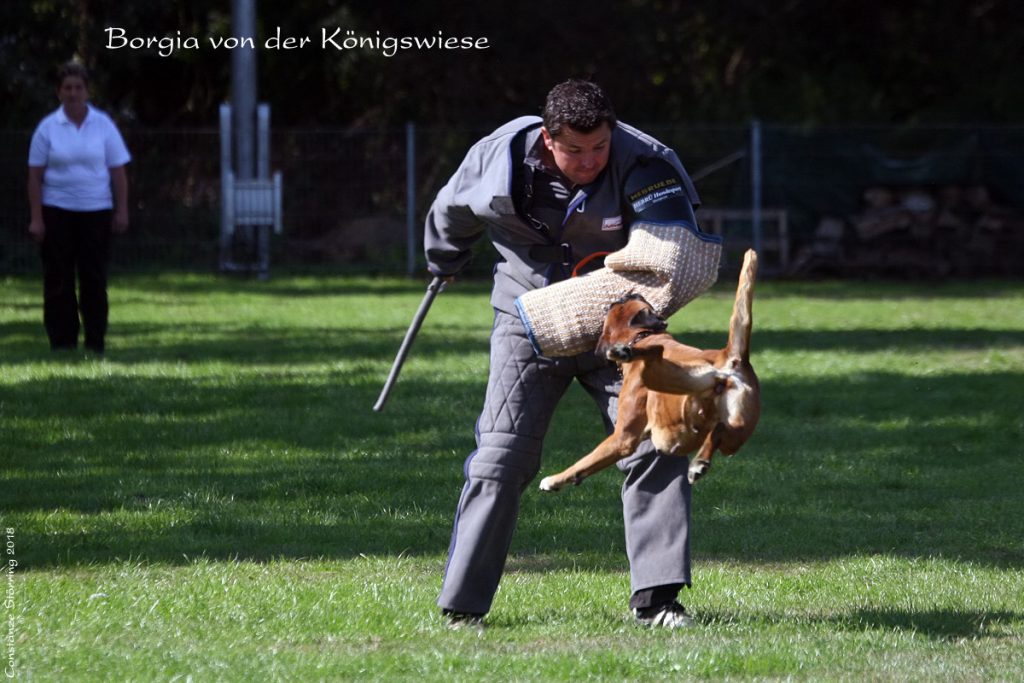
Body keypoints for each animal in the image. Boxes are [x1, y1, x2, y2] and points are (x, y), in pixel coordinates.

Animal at [540, 250, 757, 491]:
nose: (631, 291)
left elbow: (585, 461)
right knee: (718, 431)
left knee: (656, 353)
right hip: (736, 432)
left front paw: (554, 479)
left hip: (666, 378)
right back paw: (700, 462)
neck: (642, 336)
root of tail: (730, 358)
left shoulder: (623, 438)